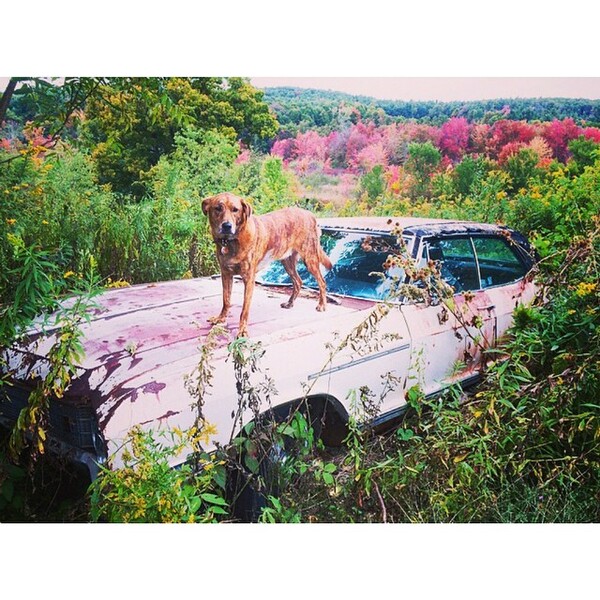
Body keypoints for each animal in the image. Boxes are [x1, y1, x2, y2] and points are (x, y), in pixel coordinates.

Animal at [202, 192, 332, 338]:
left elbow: (244, 309)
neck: (231, 241)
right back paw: (290, 303)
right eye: (218, 208)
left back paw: (322, 305)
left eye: (235, 210)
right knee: (298, 281)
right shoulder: (226, 274)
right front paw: (221, 318)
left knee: (322, 281)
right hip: (287, 262)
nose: (227, 226)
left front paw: (242, 330)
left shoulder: (249, 278)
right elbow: (226, 300)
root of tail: (310, 214)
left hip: (310, 259)